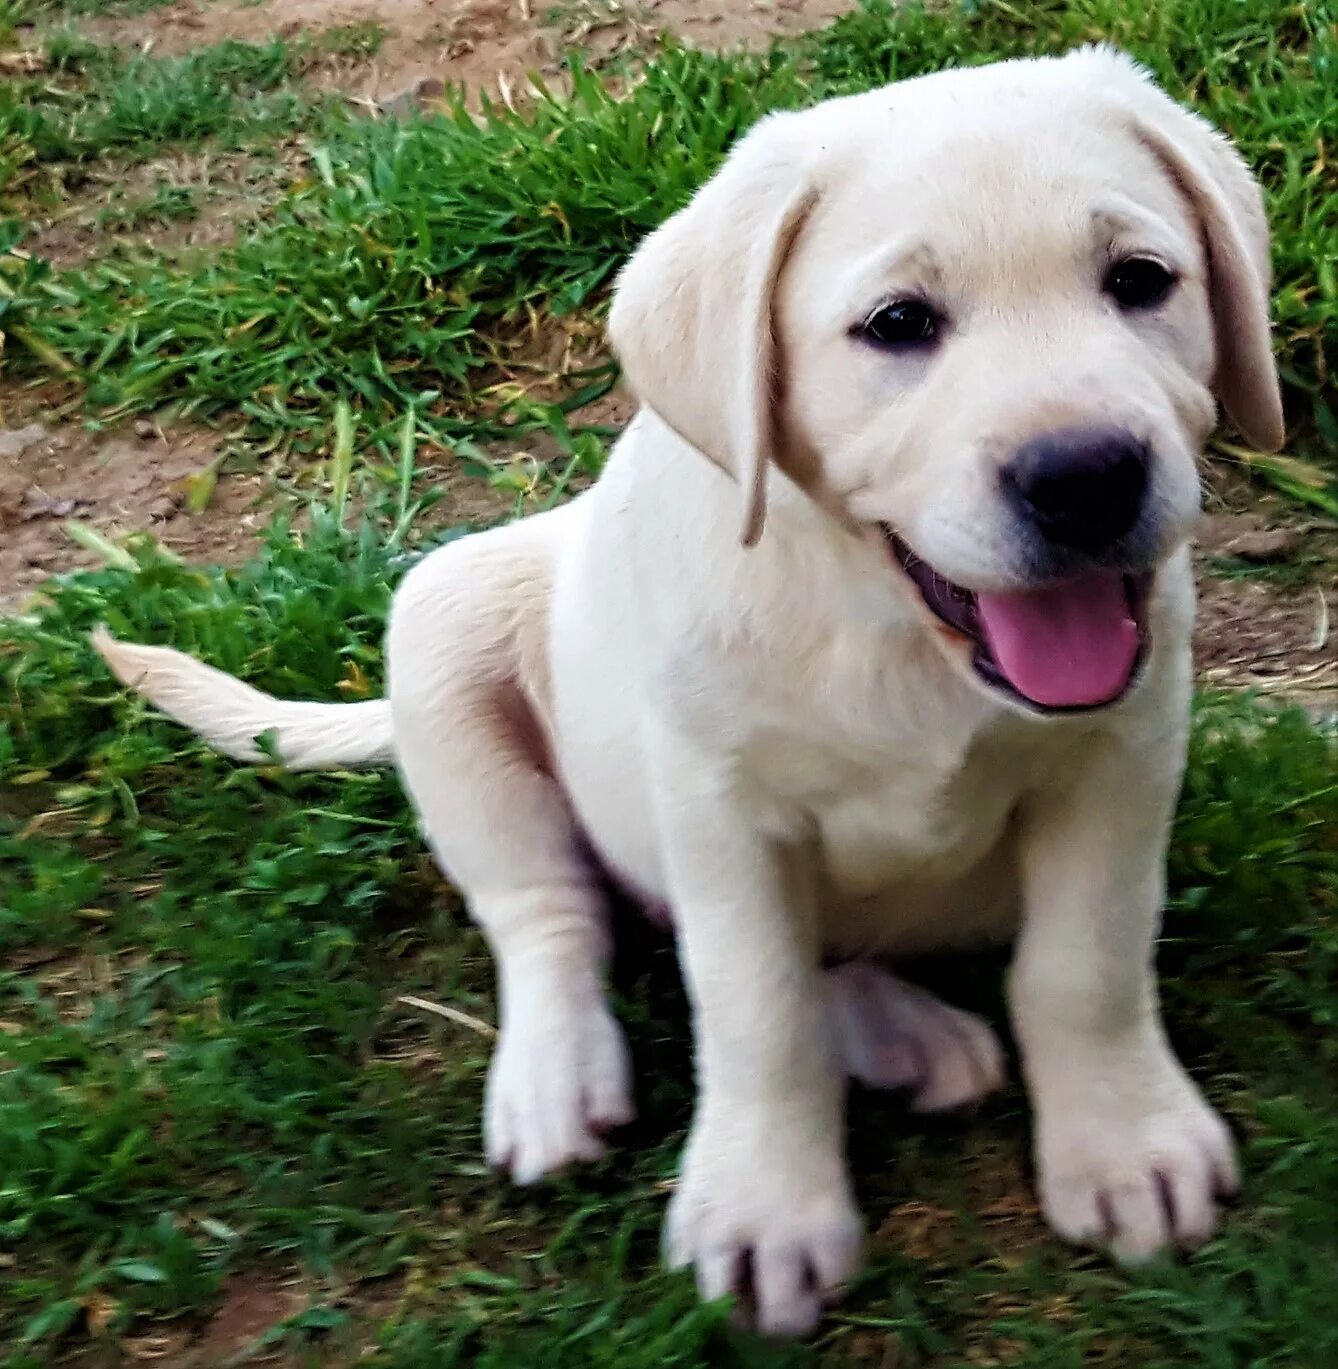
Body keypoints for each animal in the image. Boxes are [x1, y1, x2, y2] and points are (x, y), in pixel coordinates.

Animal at [89, 50, 1281, 1336]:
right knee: (552, 911)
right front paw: (765, 1207)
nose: (1087, 476)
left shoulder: (1122, 756)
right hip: (445, 625)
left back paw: (902, 1033)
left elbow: (1085, 962)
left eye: (1140, 281)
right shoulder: (720, 809)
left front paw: (1124, 1145)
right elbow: (754, 1007)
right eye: (899, 325)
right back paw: (562, 1075)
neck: (891, 631)